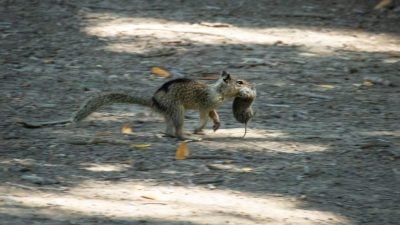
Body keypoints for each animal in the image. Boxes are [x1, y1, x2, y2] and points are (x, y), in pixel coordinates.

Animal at [20, 71, 255, 140]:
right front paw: (200, 128)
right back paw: (186, 136)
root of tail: (154, 101)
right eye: (240, 82)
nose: (252, 86)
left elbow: (213, 114)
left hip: (170, 113)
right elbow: (204, 115)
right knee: (177, 128)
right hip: (177, 110)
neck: (218, 91)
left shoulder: (212, 105)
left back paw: (171, 134)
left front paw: (216, 124)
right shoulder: (205, 104)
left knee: (168, 129)